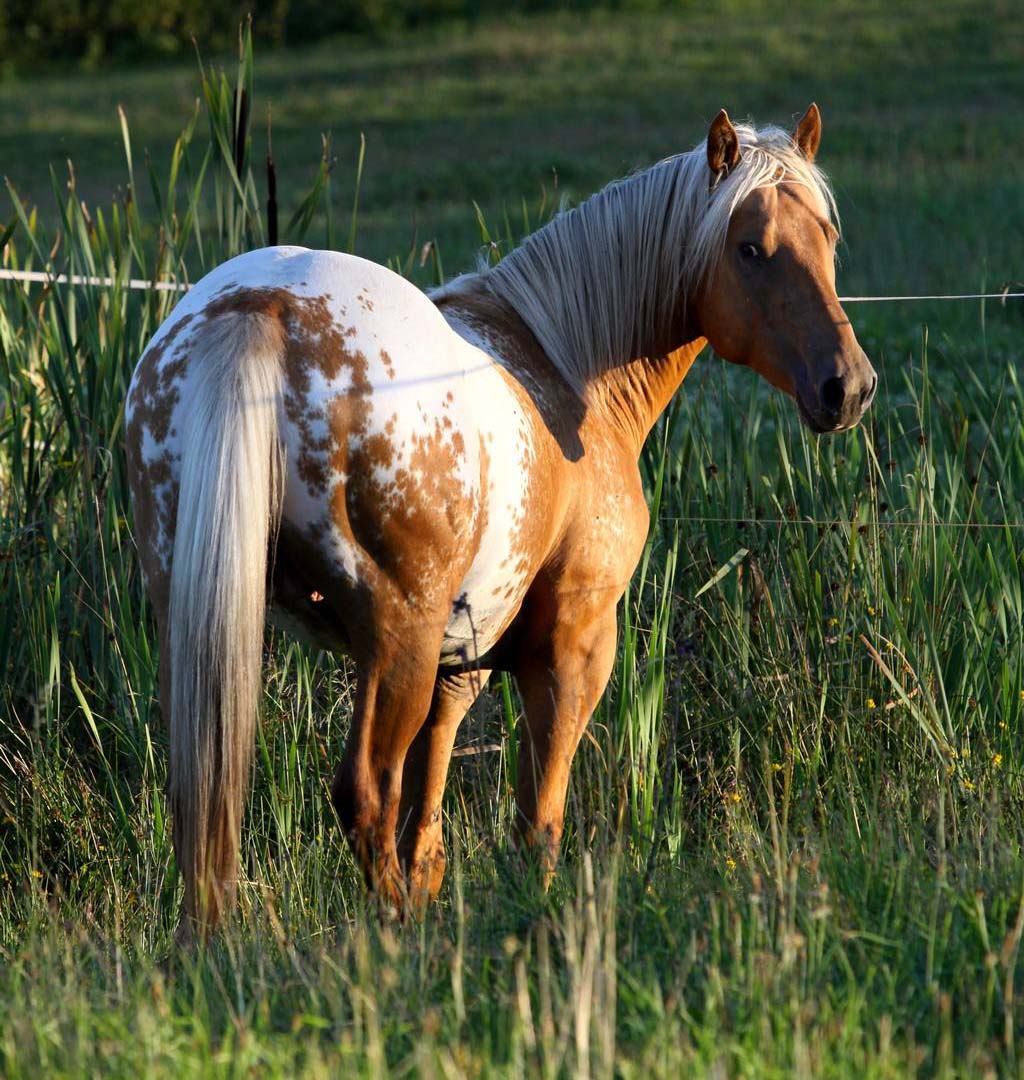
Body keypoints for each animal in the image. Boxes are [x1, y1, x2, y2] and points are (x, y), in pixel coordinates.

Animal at [124, 105, 877, 941]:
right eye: (750, 248)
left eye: (827, 237)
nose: (847, 388)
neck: (567, 363)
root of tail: (266, 306)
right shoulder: (572, 647)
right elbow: (535, 820)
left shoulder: (460, 665)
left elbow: (428, 813)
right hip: (398, 638)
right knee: (363, 793)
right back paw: (396, 939)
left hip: (209, 620)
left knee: (205, 797)